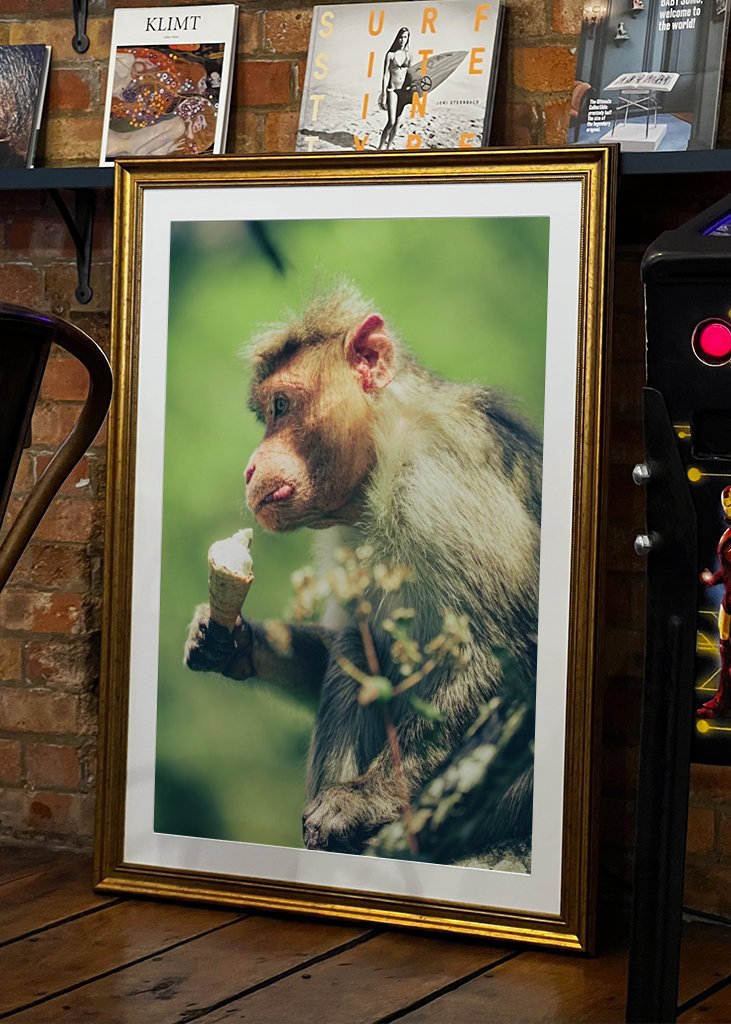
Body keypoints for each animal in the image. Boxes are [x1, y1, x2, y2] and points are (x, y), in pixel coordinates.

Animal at [185, 281, 542, 860]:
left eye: (281, 406)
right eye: (268, 413)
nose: (250, 467)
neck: (383, 451)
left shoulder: (442, 480)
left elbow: (506, 651)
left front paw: (367, 798)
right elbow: (343, 640)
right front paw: (231, 641)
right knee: (357, 643)